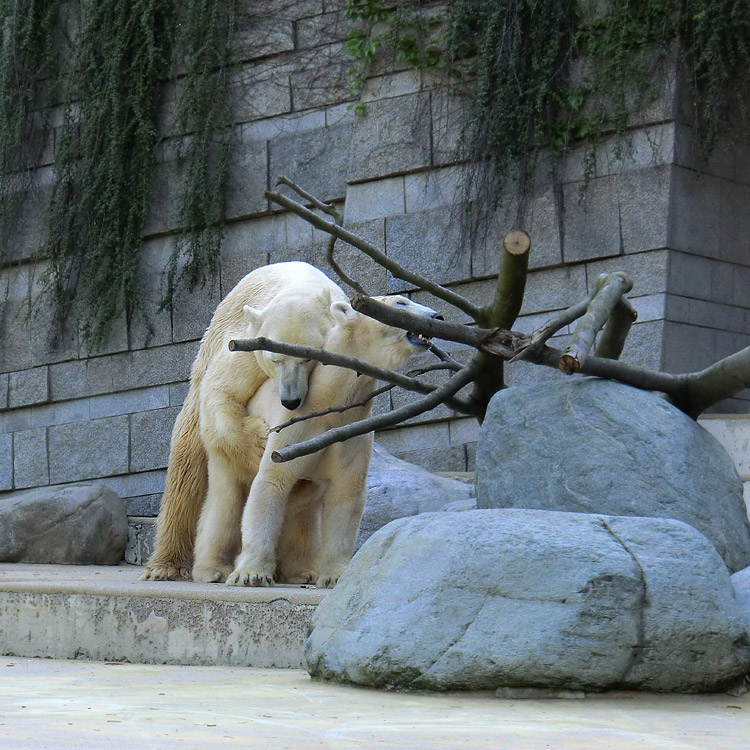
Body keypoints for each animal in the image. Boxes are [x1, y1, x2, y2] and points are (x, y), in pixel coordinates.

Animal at [141, 262, 350, 584]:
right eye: (275, 359)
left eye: (307, 357)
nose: (290, 401)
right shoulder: (247, 346)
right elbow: (221, 393)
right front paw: (259, 443)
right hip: (204, 361)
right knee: (188, 464)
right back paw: (169, 566)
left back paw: (304, 570)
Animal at [191, 296, 444, 592]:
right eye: (401, 302)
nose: (437, 316)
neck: (326, 400)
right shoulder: (292, 430)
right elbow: (271, 483)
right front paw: (250, 575)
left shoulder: (351, 431)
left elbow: (346, 493)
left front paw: (335, 575)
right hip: (228, 446)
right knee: (225, 502)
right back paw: (212, 570)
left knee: (302, 510)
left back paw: (304, 572)